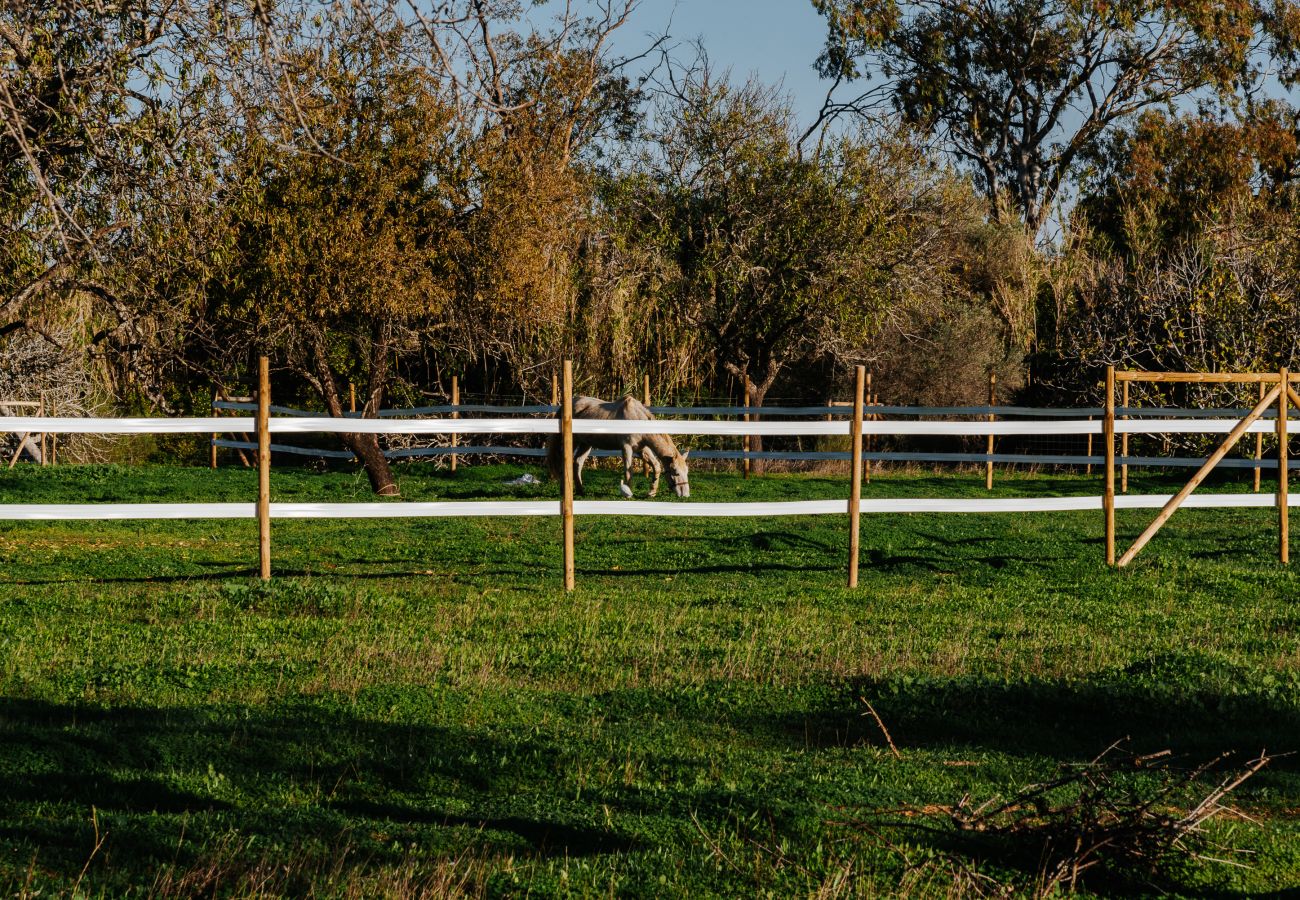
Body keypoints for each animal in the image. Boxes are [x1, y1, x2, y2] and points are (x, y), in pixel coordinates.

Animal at [546, 397, 691, 499]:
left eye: (686, 472)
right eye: (676, 472)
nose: (686, 495)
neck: (637, 418)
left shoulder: (642, 449)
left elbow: (656, 466)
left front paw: (652, 492)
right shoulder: (626, 447)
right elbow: (628, 471)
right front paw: (628, 493)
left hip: (586, 444)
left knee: (577, 463)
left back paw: (581, 491)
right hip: (574, 442)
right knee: (565, 462)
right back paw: (564, 491)